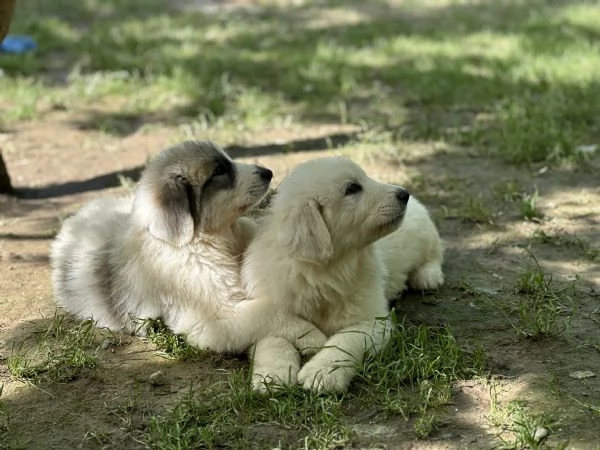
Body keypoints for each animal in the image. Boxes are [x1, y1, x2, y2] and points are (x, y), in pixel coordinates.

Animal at [53, 141, 326, 356]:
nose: (268, 172)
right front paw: (314, 336)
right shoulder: (214, 319)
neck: (200, 242)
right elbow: (270, 312)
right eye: (219, 171)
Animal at [241, 156, 442, 392]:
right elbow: (274, 339)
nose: (404, 193)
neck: (324, 271)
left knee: (436, 252)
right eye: (352, 188)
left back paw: (428, 275)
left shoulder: (371, 322)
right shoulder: (274, 310)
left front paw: (322, 372)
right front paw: (272, 376)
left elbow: (344, 341)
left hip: (426, 233)